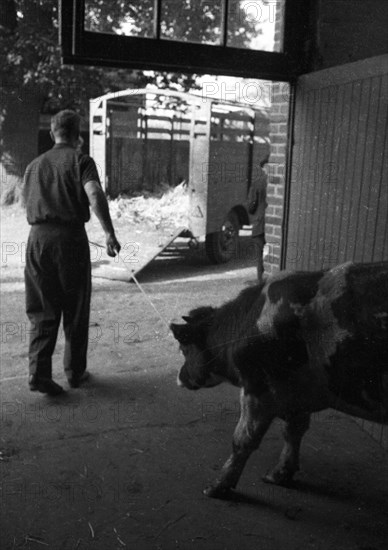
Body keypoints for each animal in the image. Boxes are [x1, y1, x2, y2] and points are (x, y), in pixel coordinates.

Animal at [171, 262, 388, 500]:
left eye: (184, 349)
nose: (179, 377)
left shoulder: (258, 388)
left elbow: (243, 439)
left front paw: (217, 487)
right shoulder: (297, 394)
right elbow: (293, 431)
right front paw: (279, 474)